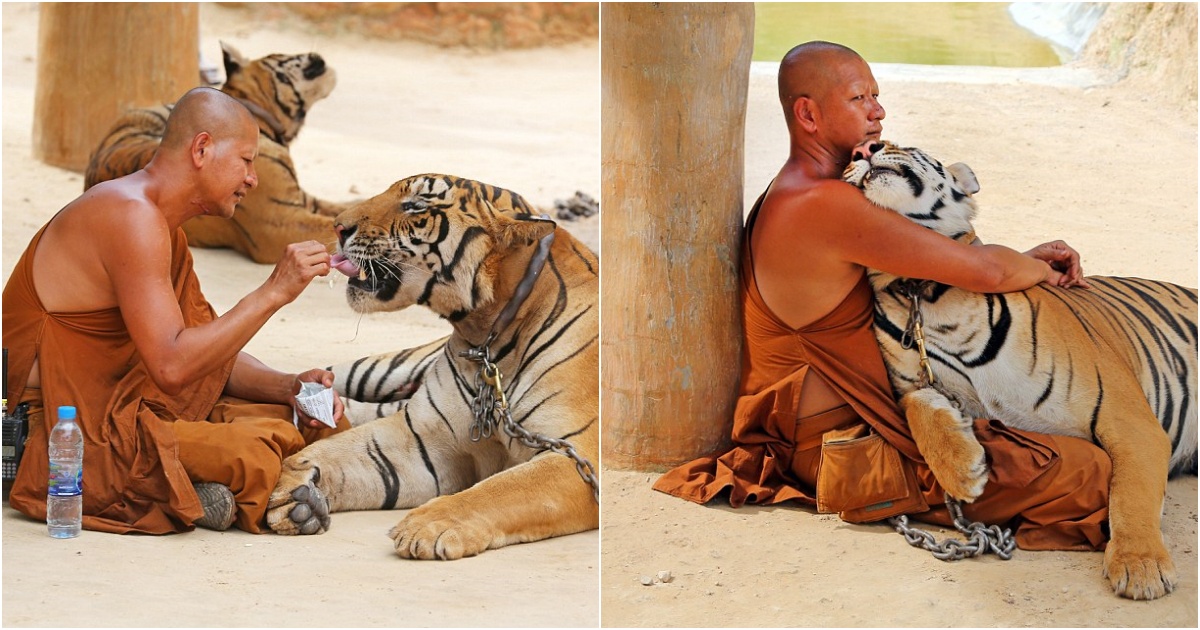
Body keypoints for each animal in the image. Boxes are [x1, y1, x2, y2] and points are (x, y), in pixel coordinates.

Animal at [265, 172, 597, 559]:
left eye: (416, 205)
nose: (338, 227)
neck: (486, 337)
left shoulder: (578, 454)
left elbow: (504, 490)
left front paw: (428, 526)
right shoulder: (423, 436)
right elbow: (342, 451)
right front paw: (293, 487)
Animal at [844, 139, 1200, 602]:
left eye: (899, 144)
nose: (866, 147)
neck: (923, 290)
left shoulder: (1127, 417)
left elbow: (1131, 492)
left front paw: (1141, 568)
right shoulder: (911, 383)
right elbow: (919, 408)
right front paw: (965, 473)